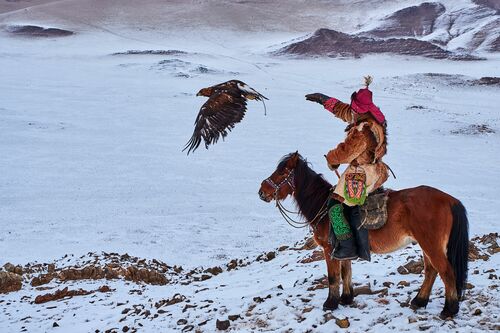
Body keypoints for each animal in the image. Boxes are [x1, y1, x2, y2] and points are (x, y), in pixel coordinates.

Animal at [258, 152, 468, 318]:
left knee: (446, 272)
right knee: (431, 271)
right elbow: (346, 272)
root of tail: (450, 200)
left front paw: (330, 304)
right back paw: (419, 301)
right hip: (425, 244)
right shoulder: (343, 250)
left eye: (282, 172)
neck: (323, 207)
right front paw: (346, 298)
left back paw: (449, 310)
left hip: (431, 245)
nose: (262, 191)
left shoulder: (329, 249)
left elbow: (333, 277)